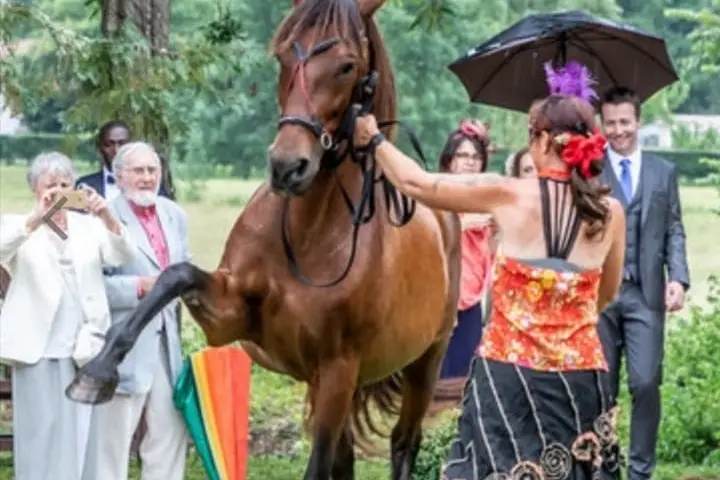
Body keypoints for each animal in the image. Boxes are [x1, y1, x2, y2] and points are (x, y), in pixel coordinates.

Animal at [65, 0, 461, 478]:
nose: (289, 167)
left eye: (347, 65)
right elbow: (174, 276)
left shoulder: (338, 370)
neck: (306, 237)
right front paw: (97, 371)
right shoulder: (228, 316)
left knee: (404, 442)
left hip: (425, 361)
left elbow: (319, 464)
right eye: (284, 56)